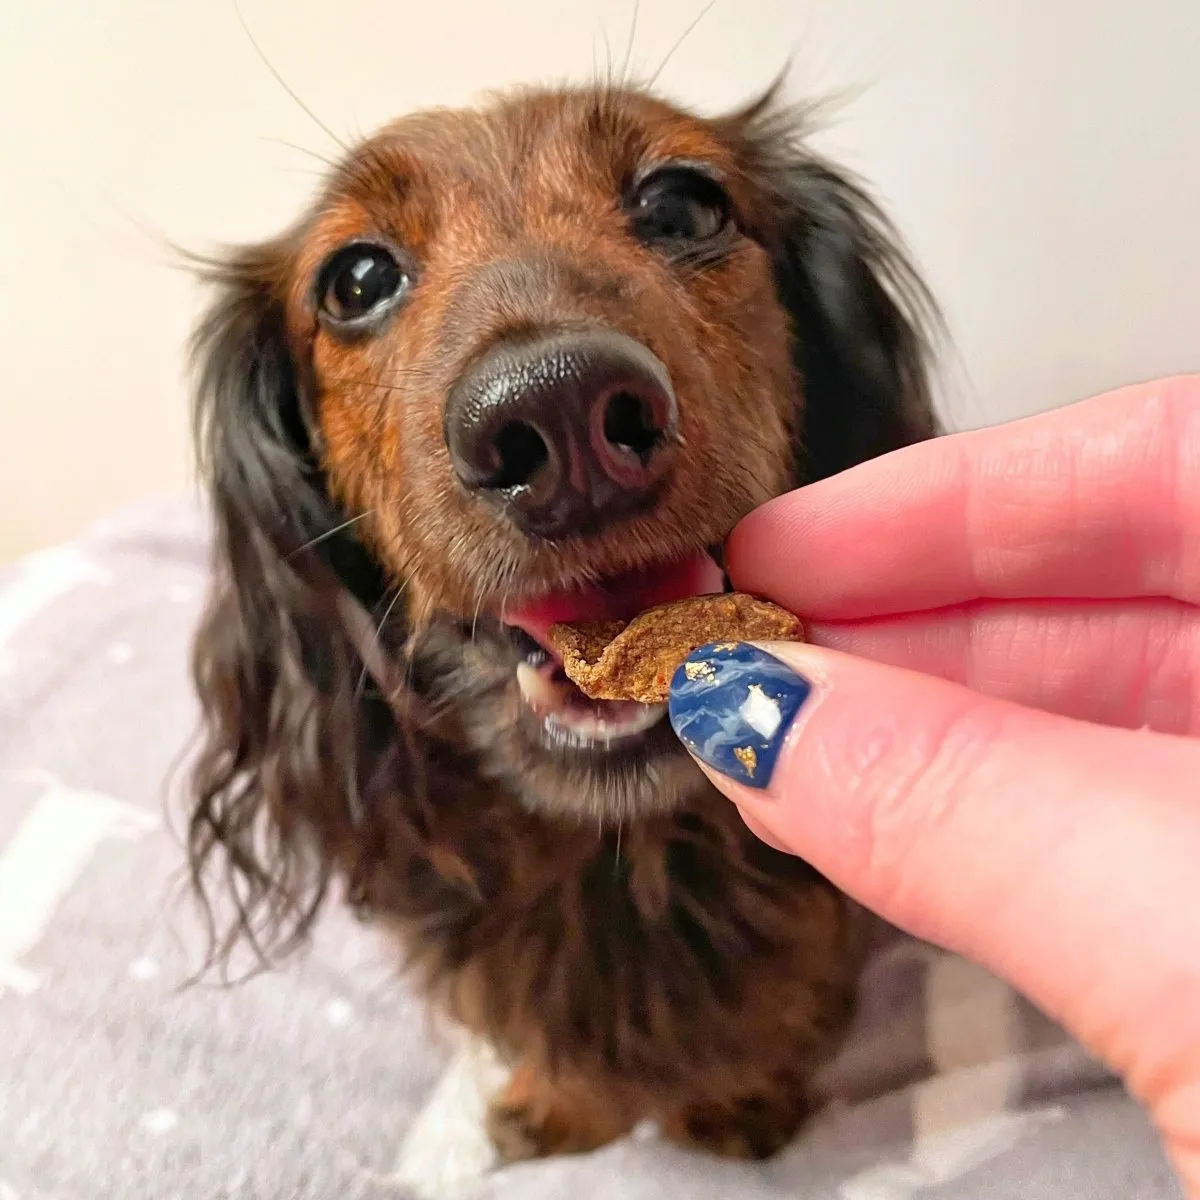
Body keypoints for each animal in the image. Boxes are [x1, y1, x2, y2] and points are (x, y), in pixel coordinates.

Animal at [184, 84, 936, 1161]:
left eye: (683, 205)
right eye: (356, 279)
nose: (560, 414)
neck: (621, 855)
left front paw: (741, 1098)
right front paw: (562, 1105)